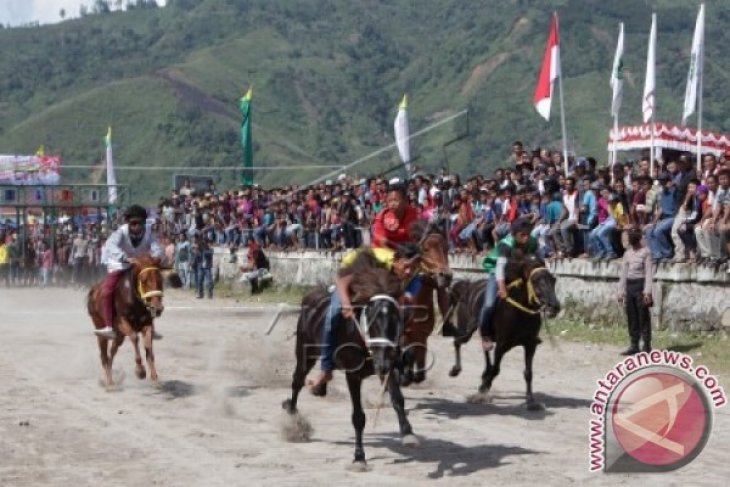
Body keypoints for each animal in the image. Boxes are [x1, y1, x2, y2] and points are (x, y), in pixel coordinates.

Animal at [85, 255, 179, 388]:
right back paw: (109, 382)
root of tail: (93, 291)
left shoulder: (147, 325)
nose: (157, 308)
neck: (135, 300)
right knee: (104, 355)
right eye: (144, 280)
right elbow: (134, 337)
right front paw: (140, 370)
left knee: (112, 352)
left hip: (119, 335)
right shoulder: (123, 322)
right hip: (101, 329)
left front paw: (154, 377)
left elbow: (148, 348)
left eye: (160, 279)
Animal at [280, 266, 418, 468]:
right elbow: (358, 417)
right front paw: (359, 457)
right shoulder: (353, 375)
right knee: (297, 381)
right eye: (372, 321)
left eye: (396, 321)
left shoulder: (387, 368)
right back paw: (293, 416)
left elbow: (398, 400)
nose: (383, 362)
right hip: (305, 353)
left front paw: (408, 434)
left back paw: (320, 385)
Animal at [398, 219, 450, 386]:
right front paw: (404, 376)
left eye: (446, 248)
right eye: (425, 249)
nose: (445, 276)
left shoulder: (422, 336)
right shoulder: (403, 334)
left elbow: (418, 361)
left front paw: (412, 375)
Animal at [446, 258, 560, 410]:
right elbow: (496, 369)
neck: (520, 312)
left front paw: (531, 401)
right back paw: (455, 370)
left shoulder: (530, 345)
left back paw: (483, 373)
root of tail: (468, 286)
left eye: (553, 280)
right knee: (458, 342)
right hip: (466, 330)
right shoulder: (502, 346)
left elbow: (528, 373)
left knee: (485, 348)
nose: (554, 307)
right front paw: (482, 391)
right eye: (536, 280)